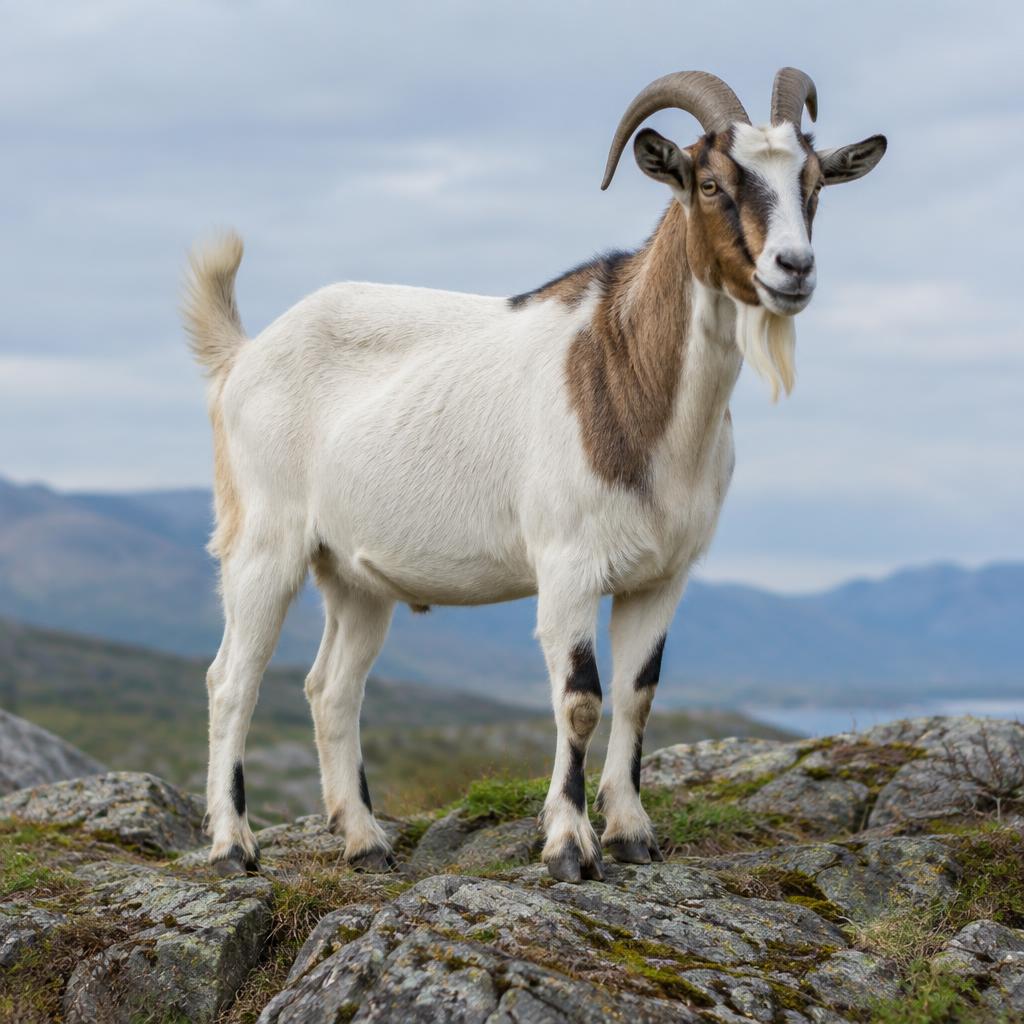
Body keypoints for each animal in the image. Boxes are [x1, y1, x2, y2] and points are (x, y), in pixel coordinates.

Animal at [185, 68, 886, 882]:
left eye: (814, 183)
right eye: (710, 181)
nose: (794, 269)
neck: (623, 369)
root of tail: (242, 355)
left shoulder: (663, 576)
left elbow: (639, 694)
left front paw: (632, 833)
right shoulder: (568, 568)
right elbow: (580, 699)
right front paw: (570, 845)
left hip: (355, 575)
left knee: (332, 688)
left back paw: (365, 841)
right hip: (264, 539)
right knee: (232, 680)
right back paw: (233, 845)